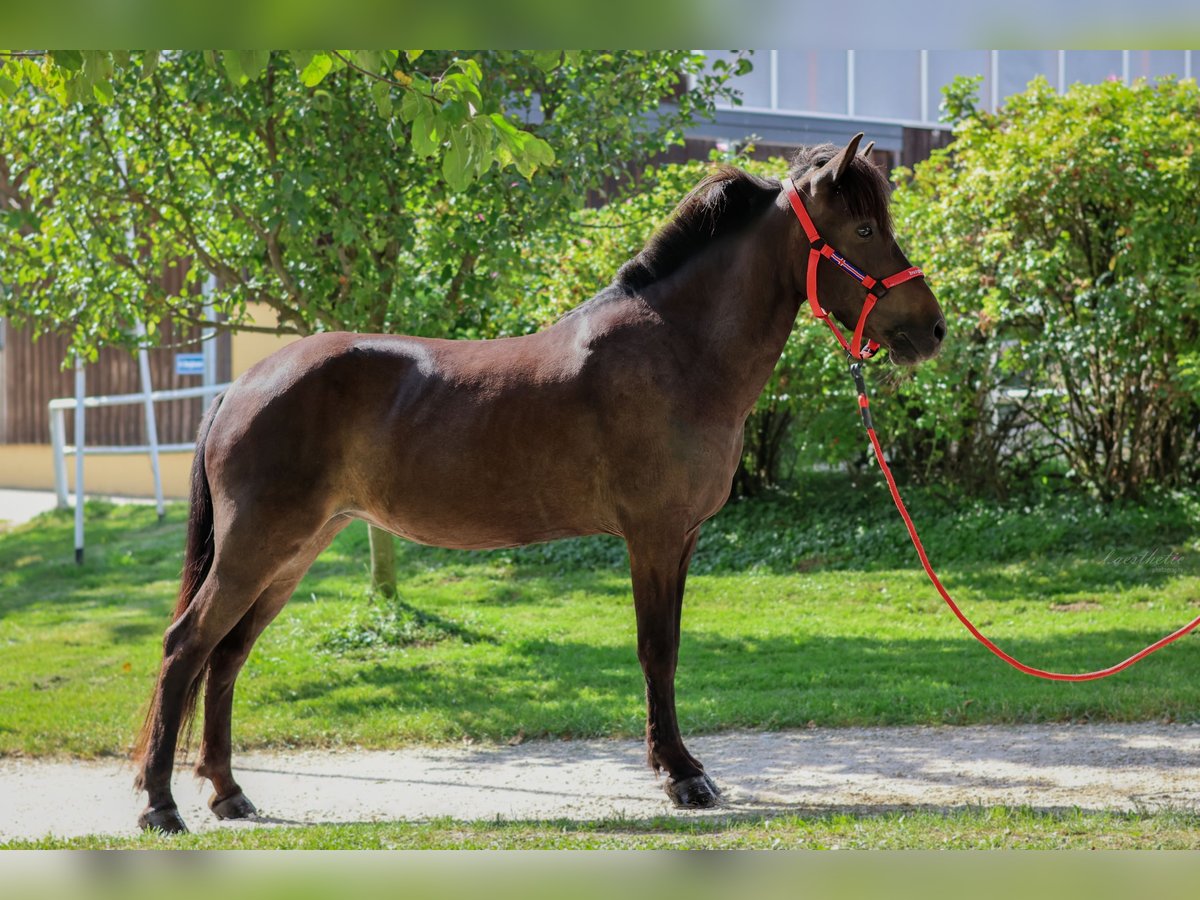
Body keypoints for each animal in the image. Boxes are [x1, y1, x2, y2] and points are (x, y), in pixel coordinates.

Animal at [131, 132, 945, 830]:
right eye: (863, 229)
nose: (932, 330)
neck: (676, 348)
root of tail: (242, 387)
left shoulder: (681, 539)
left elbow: (671, 648)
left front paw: (680, 767)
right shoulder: (652, 537)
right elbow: (656, 651)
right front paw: (682, 776)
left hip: (292, 552)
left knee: (227, 656)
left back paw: (229, 794)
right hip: (257, 549)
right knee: (185, 646)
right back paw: (161, 806)